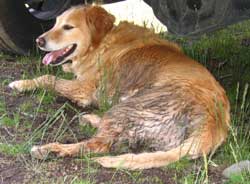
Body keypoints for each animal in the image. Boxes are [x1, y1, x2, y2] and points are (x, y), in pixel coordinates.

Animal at [8, 5, 230, 170]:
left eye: (68, 27)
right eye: (54, 23)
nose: (39, 40)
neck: (101, 43)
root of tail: (214, 120)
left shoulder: (83, 89)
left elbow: (48, 78)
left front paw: (21, 84)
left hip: (129, 106)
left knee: (98, 145)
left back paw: (50, 149)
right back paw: (90, 119)